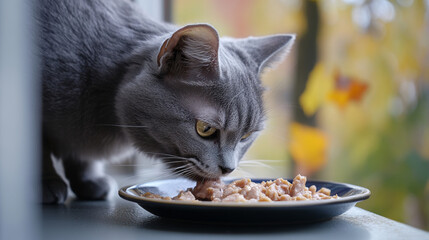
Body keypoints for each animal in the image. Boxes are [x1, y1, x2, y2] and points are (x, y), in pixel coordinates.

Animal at [36, 0, 294, 203]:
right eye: (205, 129)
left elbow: (82, 156)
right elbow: (40, 150)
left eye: (246, 136)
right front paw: (46, 183)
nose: (228, 168)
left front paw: (88, 179)